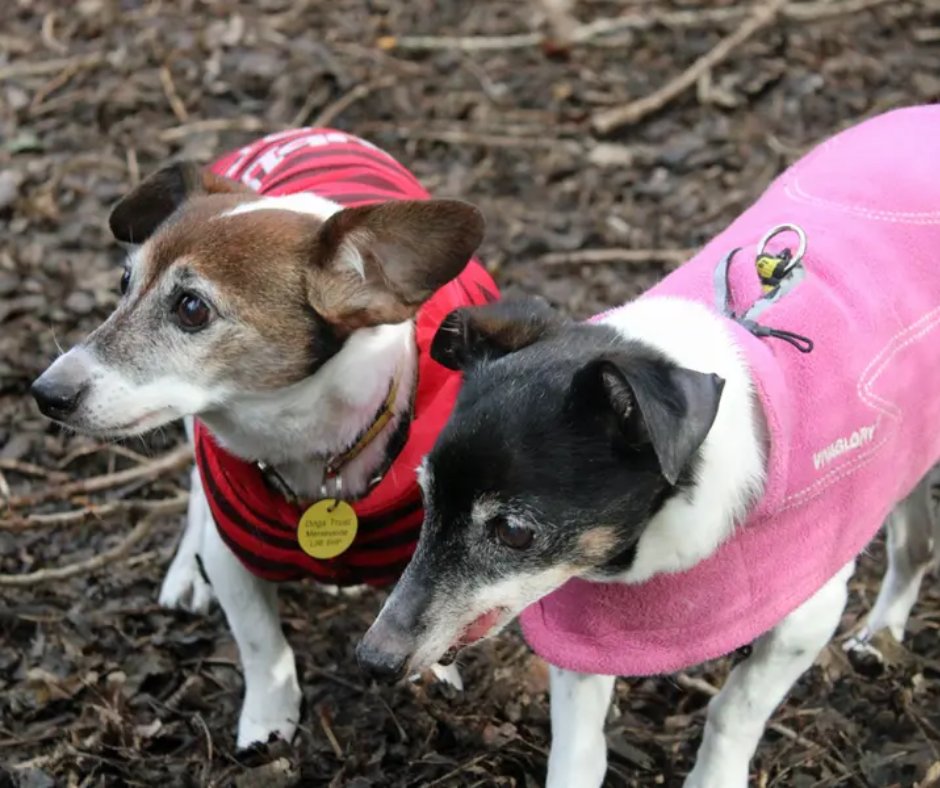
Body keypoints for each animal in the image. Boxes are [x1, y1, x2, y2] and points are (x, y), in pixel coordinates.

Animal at [30, 127, 496, 744]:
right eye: (124, 283)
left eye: (191, 308)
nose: (45, 393)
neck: (310, 447)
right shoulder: (233, 556)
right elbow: (260, 642)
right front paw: (270, 722)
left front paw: (433, 673)